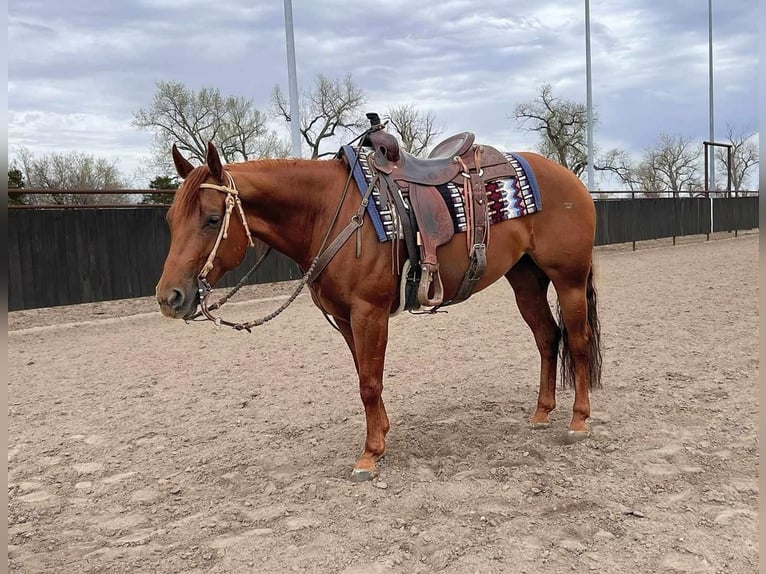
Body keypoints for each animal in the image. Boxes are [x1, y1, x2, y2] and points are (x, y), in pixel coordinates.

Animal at [154, 142, 600, 484]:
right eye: (170, 219)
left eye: (213, 219)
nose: (169, 297)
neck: (329, 212)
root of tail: (571, 179)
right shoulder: (346, 320)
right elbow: (364, 377)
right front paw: (380, 436)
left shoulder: (369, 313)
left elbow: (369, 382)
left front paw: (369, 455)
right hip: (525, 279)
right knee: (547, 337)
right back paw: (541, 413)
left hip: (568, 280)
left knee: (578, 342)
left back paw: (578, 421)